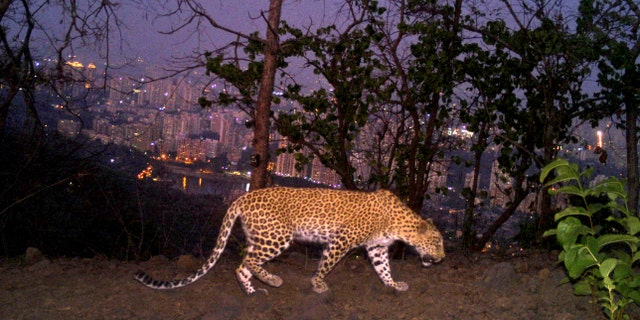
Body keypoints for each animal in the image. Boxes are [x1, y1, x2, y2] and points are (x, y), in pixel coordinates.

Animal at [134, 186, 444, 294]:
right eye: (438, 243)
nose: (442, 259)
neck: (399, 225)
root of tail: (242, 197)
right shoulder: (341, 241)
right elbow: (326, 264)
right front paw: (318, 284)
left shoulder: (377, 248)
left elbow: (383, 268)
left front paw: (393, 284)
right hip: (278, 236)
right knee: (247, 260)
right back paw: (272, 280)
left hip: (261, 236)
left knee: (242, 265)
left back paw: (253, 291)